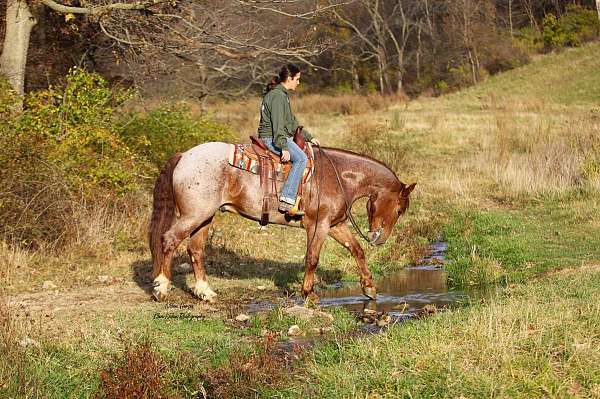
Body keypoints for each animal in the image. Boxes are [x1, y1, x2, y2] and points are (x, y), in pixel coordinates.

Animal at [148, 143, 414, 304]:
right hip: (194, 215)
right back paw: (161, 288)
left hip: (205, 217)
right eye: (399, 209)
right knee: (169, 239)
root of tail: (184, 156)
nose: (379, 238)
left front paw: (369, 288)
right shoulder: (318, 225)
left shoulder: (335, 226)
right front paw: (309, 294)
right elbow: (312, 258)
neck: (338, 176)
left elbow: (357, 250)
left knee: (195, 249)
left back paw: (205, 292)